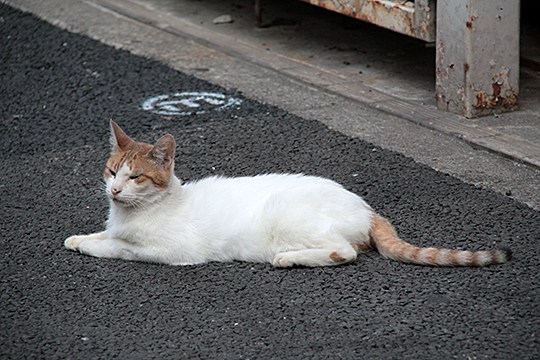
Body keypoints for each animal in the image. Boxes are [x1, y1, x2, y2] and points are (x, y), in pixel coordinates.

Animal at [63, 121, 510, 268]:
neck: (131, 214)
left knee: (343, 252)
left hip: (286, 215)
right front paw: (79, 238)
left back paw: (290, 258)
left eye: (136, 177)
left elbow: (120, 248)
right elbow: (105, 235)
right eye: (112, 171)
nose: (114, 189)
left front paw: (93, 247)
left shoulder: (174, 252)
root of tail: (366, 206)